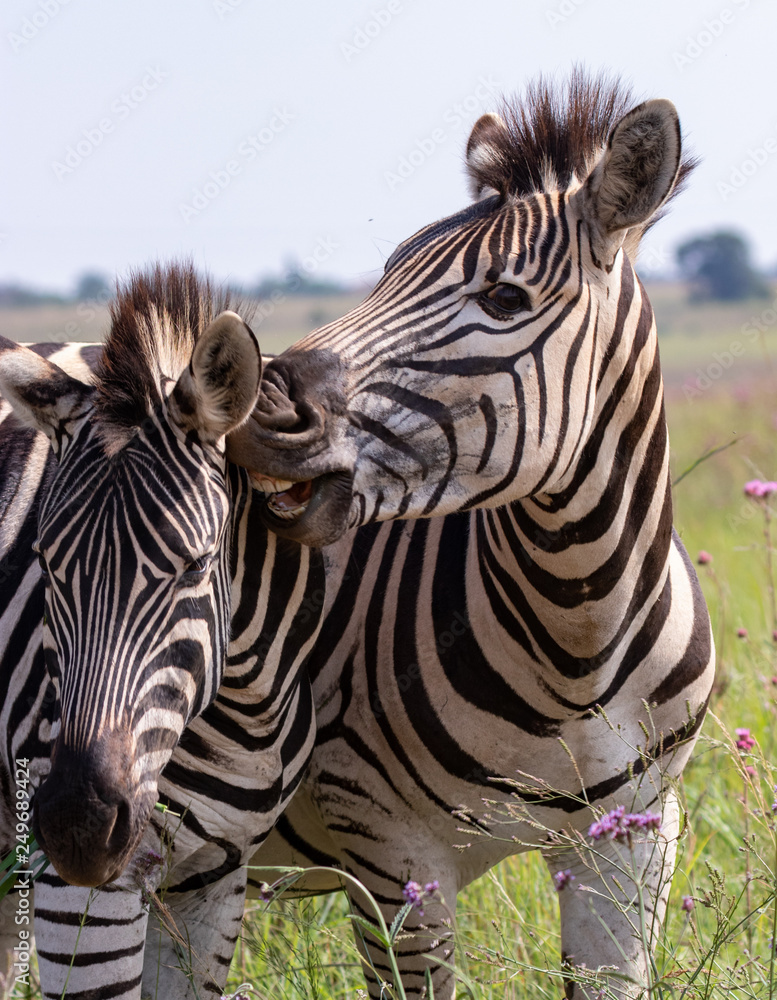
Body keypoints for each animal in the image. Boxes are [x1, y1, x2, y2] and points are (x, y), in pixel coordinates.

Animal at [0, 264, 324, 999]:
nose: (77, 827)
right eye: (47, 565)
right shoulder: (80, 896)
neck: (244, 723)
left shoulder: (213, 884)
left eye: (196, 565)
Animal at [226, 72, 716, 998]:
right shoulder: (388, 853)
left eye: (503, 299)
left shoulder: (635, 842)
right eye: (383, 276)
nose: (254, 410)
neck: (576, 639)